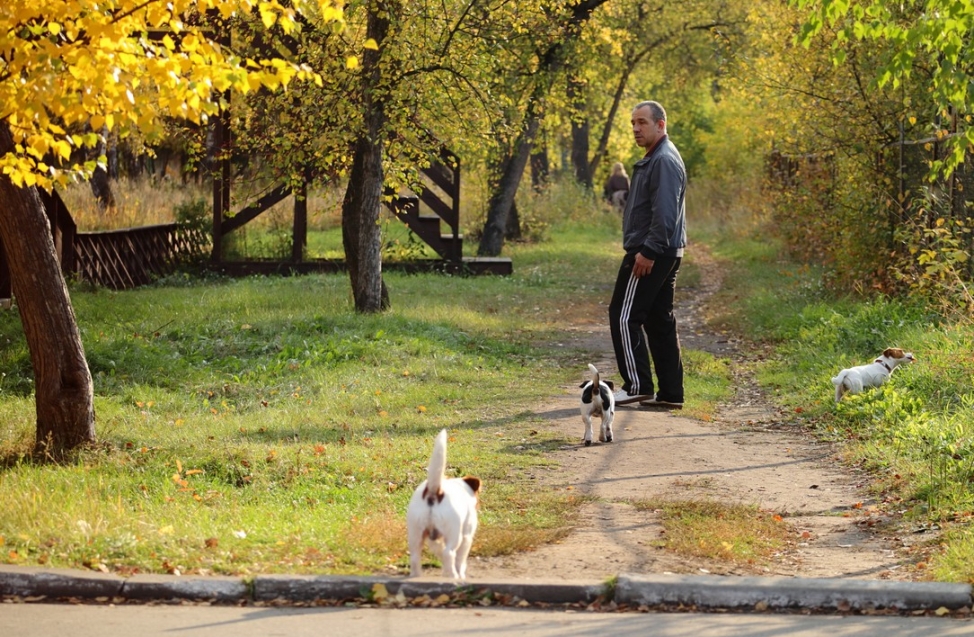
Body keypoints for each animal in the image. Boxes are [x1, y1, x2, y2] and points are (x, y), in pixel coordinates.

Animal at [406, 428, 482, 580]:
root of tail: (434, 491)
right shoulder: (467, 536)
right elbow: (459, 559)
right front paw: (459, 573)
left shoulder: (433, 538)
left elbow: (439, 551)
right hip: (454, 534)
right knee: (449, 553)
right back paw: (453, 576)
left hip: (415, 534)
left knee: (415, 557)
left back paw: (417, 576)